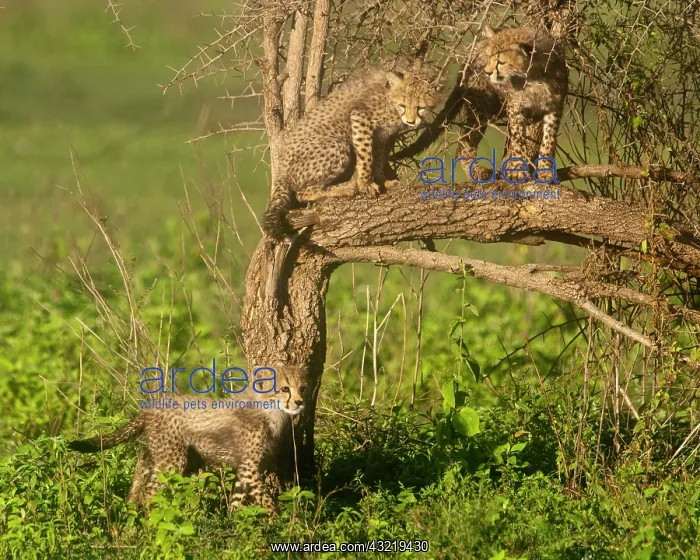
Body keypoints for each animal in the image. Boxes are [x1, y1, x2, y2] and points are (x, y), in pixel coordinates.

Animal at [68, 364, 310, 514]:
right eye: (284, 388)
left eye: (303, 388)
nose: (299, 402)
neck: (271, 411)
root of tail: (153, 406)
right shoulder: (249, 468)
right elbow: (267, 501)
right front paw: (279, 524)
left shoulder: (243, 470)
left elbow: (237, 502)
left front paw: (235, 528)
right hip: (173, 461)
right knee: (149, 494)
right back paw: (150, 525)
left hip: (161, 456)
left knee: (138, 483)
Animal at [261, 59, 444, 241]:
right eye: (403, 105)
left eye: (420, 107)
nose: (411, 122)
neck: (389, 98)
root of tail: (281, 171)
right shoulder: (360, 117)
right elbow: (366, 156)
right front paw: (365, 184)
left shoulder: (380, 134)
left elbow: (378, 158)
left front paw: (382, 181)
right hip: (337, 146)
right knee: (304, 193)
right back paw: (348, 187)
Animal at [392, 25, 568, 184]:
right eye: (489, 57)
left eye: (500, 62)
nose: (488, 72)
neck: (533, 77)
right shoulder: (515, 108)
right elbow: (518, 140)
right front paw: (517, 168)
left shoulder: (555, 107)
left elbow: (549, 140)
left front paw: (545, 170)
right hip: (481, 107)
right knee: (464, 143)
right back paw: (476, 174)